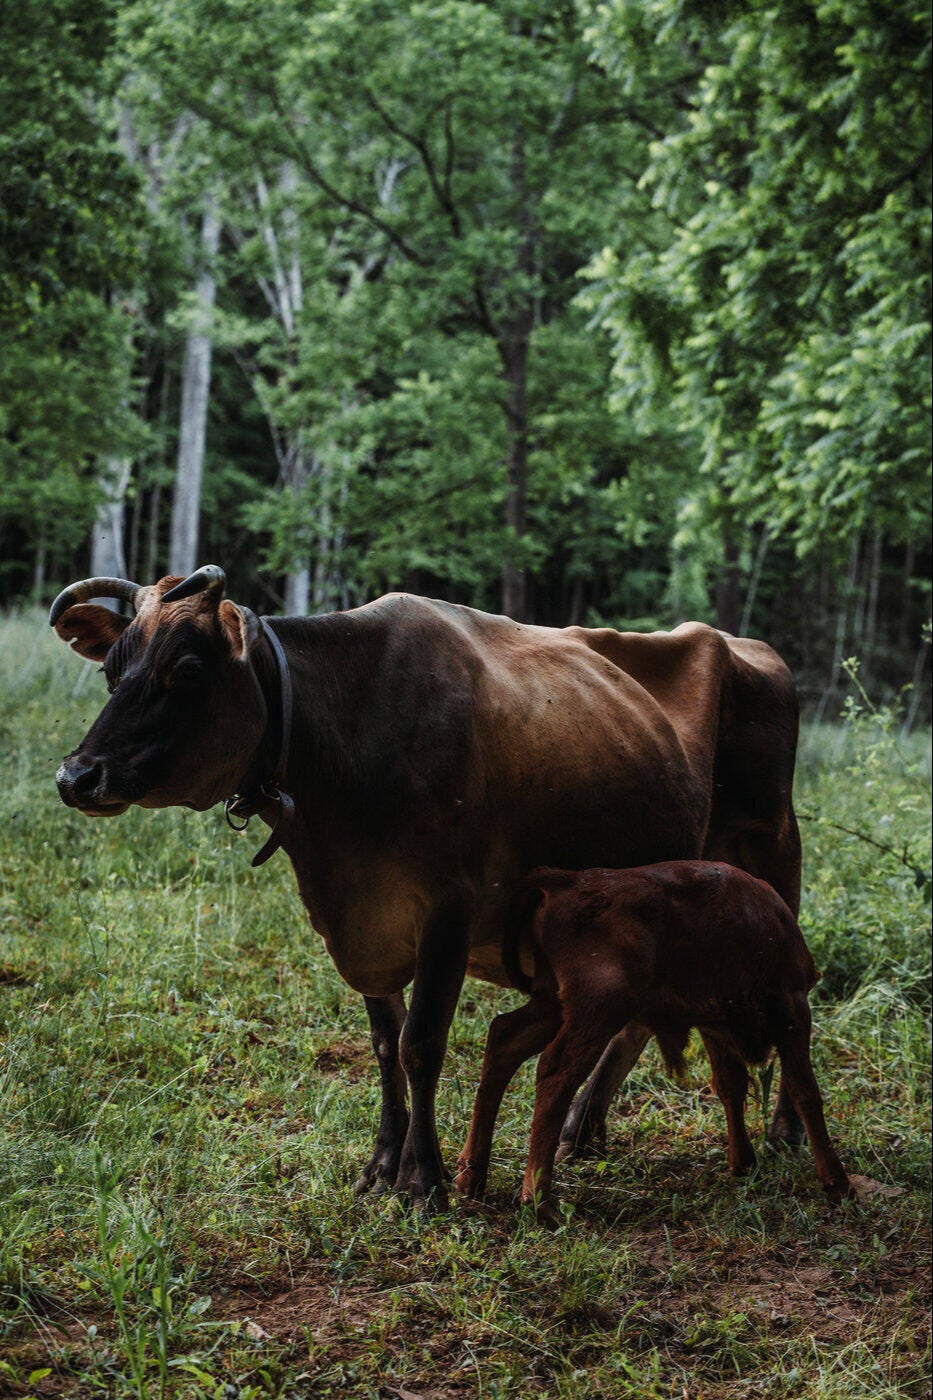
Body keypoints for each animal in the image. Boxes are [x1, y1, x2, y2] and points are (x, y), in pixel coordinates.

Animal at [49, 565, 803, 1211]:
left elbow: (422, 1042)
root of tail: (738, 642)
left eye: (184, 671)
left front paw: (425, 1179)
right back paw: (581, 1125)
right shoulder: (360, 919)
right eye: (112, 670)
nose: (76, 776)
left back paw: (787, 1131)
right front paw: (384, 1163)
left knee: (786, 990)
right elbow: (386, 1043)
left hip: (772, 849)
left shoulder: (450, 907)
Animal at [455, 862, 853, 1221]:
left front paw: (743, 1164)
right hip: (597, 1009)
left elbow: (731, 1086)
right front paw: (837, 1183)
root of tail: (565, 881)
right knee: (555, 1073)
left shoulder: (714, 1022)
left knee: (504, 1038)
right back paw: (539, 1201)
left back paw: (470, 1177)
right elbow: (805, 1091)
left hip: (552, 1002)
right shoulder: (792, 1005)